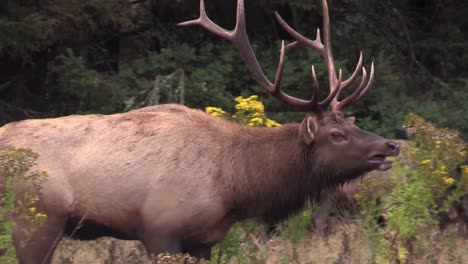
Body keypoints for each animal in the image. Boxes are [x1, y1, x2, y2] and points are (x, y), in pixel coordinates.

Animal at [0, 0, 398, 262]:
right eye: (337, 135)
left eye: (353, 124)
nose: (390, 145)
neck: (235, 187)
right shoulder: (160, 231)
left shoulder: (203, 241)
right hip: (36, 217)